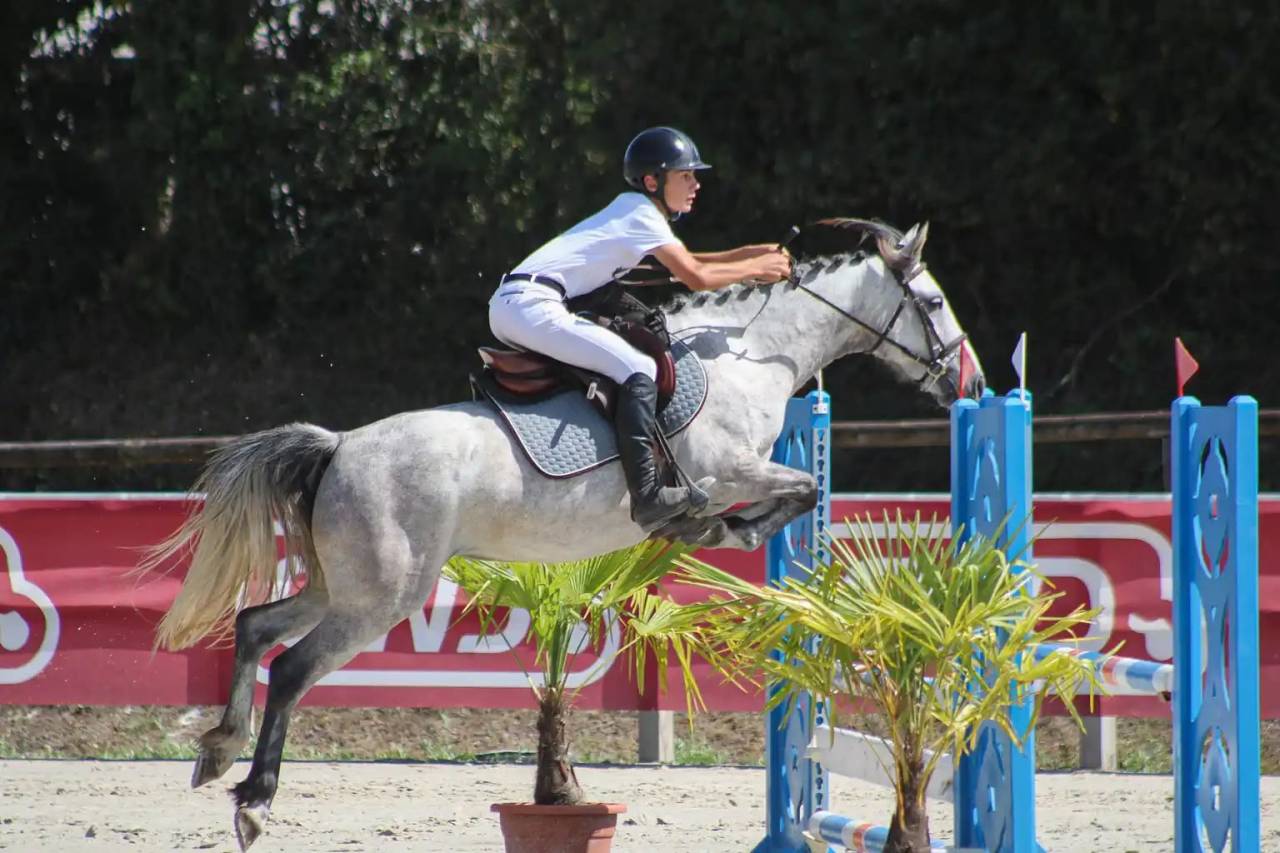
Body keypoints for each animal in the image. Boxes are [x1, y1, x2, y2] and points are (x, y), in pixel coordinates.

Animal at [144, 218, 986, 849]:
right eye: (934, 301)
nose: (971, 381)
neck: (749, 354)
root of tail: (341, 445)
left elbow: (797, 494)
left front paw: (720, 530)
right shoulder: (734, 467)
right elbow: (797, 488)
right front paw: (719, 526)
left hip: (339, 583)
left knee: (256, 625)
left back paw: (217, 748)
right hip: (382, 595)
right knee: (292, 666)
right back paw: (254, 798)